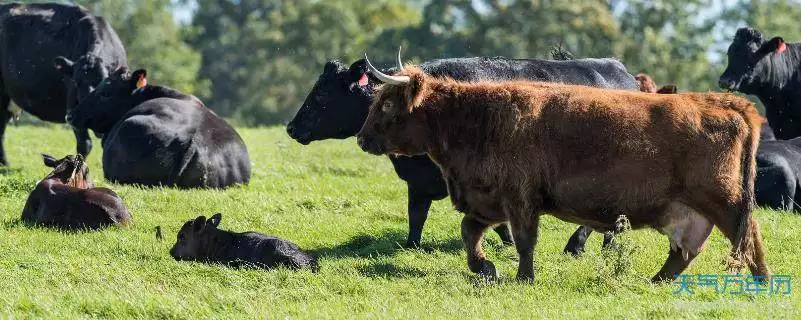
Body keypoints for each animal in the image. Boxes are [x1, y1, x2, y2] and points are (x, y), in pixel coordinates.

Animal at [288, 48, 636, 248]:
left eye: (323, 94)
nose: (292, 127)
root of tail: (621, 71)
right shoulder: (418, 181)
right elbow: (416, 216)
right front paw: (411, 246)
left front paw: (509, 241)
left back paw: (579, 245)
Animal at [358, 60, 768, 282]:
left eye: (387, 104)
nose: (362, 139)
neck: (480, 119)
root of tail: (726, 104)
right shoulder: (488, 200)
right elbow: (469, 232)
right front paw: (485, 268)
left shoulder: (520, 199)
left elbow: (524, 241)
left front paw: (523, 278)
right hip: (691, 210)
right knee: (684, 252)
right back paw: (654, 282)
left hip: (724, 201)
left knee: (748, 239)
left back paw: (761, 284)